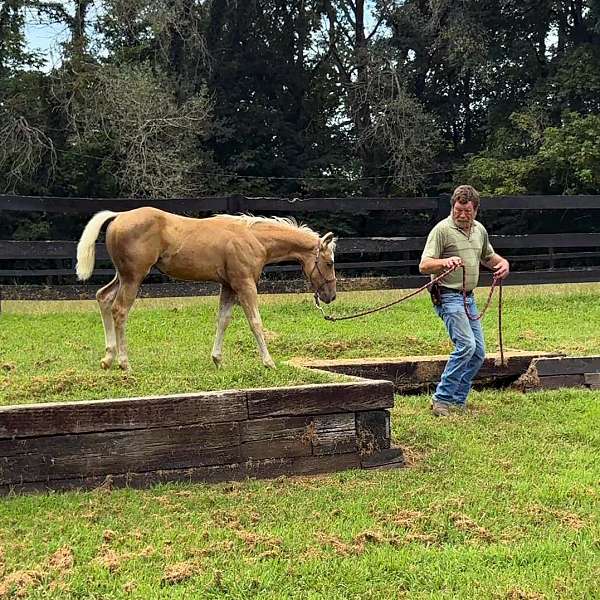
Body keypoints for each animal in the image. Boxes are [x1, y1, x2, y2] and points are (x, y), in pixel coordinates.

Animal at [74, 209, 336, 372]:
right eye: (329, 262)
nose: (330, 296)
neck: (253, 238)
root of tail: (119, 216)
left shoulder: (228, 286)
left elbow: (223, 320)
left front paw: (218, 360)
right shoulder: (245, 284)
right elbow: (255, 322)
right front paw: (268, 362)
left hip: (123, 276)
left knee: (103, 298)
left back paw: (108, 359)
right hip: (133, 278)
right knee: (119, 310)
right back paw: (124, 363)